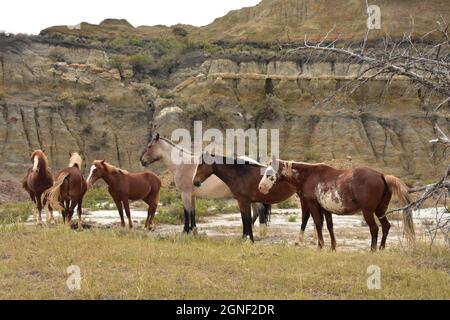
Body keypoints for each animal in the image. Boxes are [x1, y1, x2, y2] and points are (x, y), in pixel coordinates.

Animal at [256, 159, 414, 251]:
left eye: (269, 174)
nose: (260, 188)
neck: (310, 175)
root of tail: (382, 175)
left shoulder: (313, 205)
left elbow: (318, 223)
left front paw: (320, 245)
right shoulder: (326, 209)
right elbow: (329, 226)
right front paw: (333, 247)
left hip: (368, 212)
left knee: (374, 228)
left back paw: (373, 249)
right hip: (380, 211)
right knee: (386, 226)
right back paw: (381, 248)